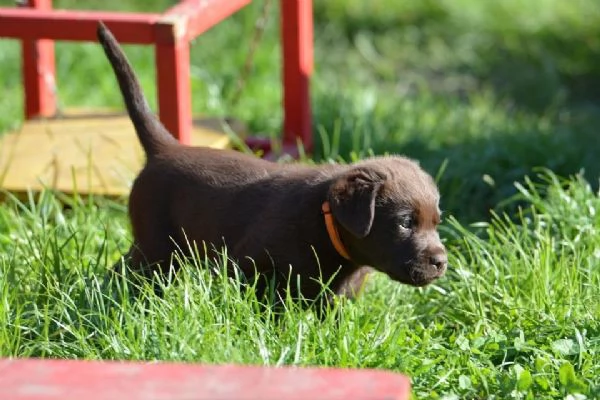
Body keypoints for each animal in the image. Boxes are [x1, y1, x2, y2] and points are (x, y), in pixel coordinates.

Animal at [97, 21, 446, 304]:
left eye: (437, 223)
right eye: (404, 222)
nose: (442, 262)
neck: (324, 220)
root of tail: (165, 149)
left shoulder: (338, 295)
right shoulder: (247, 263)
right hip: (156, 244)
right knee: (130, 271)